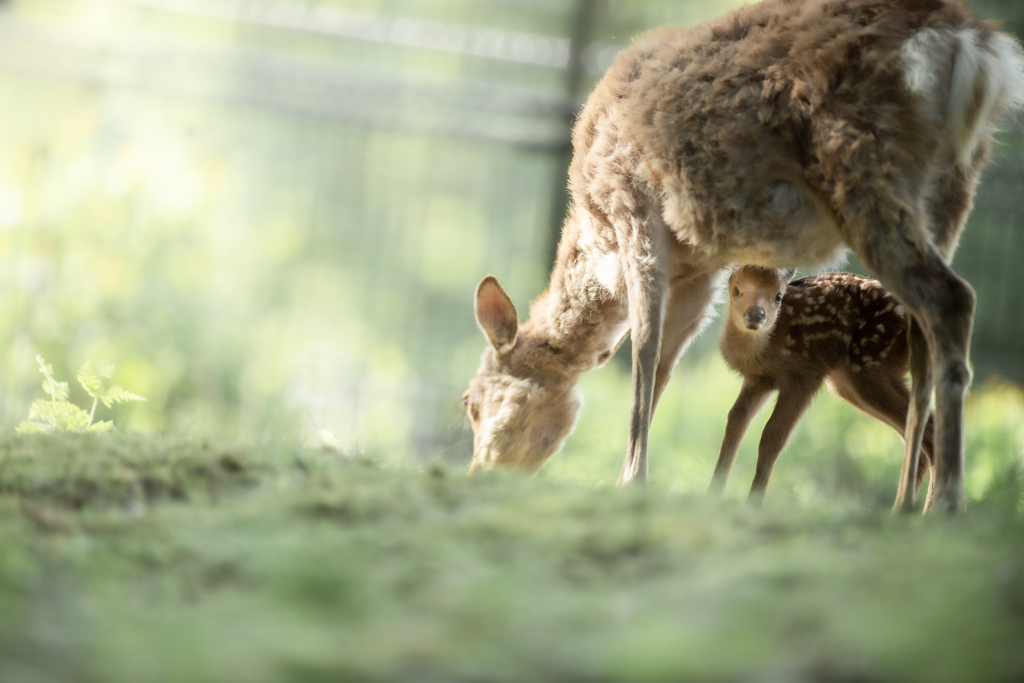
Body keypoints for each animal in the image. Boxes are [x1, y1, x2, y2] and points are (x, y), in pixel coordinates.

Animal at [466, 0, 1024, 511]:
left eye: (469, 402)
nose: (478, 473)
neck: (593, 230)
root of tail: (976, 48)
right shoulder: (704, 267)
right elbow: (666, 360)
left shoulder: (635, 208)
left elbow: (643, 347)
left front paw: (630, 481)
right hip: (954, 184)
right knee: (926, 328)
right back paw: (911, 503)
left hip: (862, 161)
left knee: (952, 298)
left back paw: (944, 501)